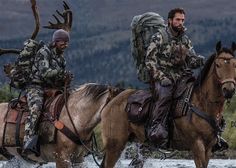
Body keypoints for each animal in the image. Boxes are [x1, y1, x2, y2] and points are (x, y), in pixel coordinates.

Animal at [100, 41, 236, 168]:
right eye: (218, 65)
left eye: (235, 64)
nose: (229, 89)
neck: (202, 103)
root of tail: (112, 100)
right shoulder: (197, 146)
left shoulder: (208, 148)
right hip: (115, 145)